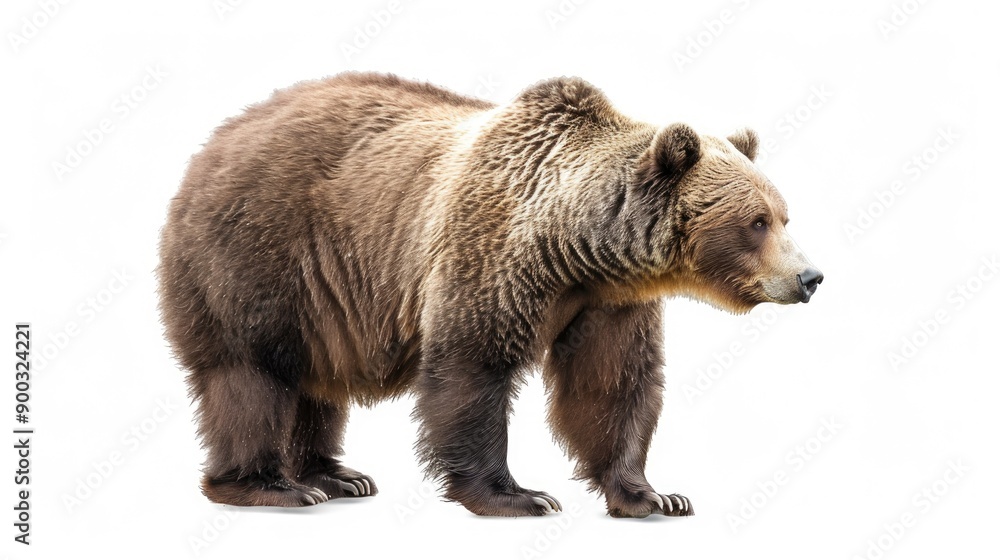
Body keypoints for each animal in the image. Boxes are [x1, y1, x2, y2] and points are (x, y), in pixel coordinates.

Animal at [157, 72, 822, 518]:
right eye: (757, 221)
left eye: (784, 215)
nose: (810, 277)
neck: (575, 243)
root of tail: (214, 140)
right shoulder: (489, 255)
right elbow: (472, 368)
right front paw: (518, 494)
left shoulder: (608, 299)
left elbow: (613, 383)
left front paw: (653, 494)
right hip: (260, 253)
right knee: (251, 373)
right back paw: (271, 485)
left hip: (323, 301)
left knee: (316, 383)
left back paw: (340, 475)